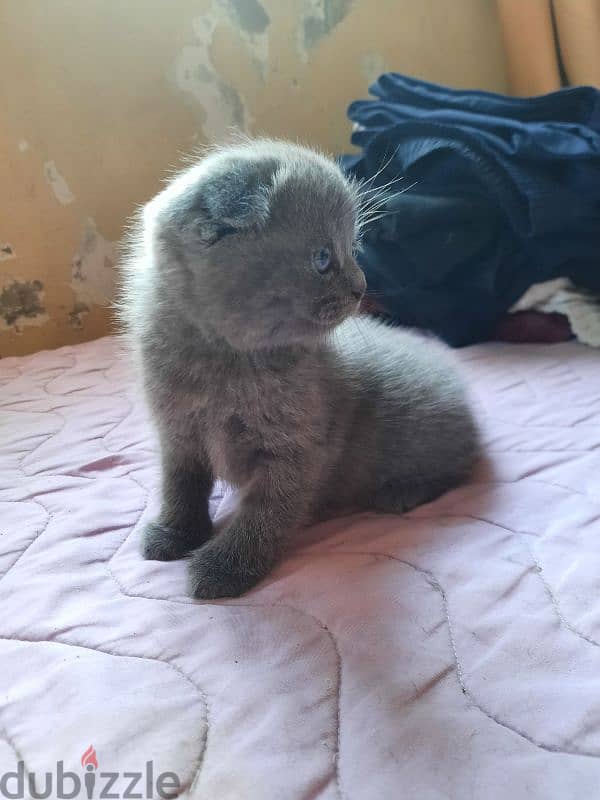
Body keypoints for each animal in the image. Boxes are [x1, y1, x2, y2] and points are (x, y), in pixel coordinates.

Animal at [120, 139, 478, 600]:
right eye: (323, 259)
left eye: (353, 249)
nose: (361, 286)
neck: (226, 364)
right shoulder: (177, 432)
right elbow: (180, 486)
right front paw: (175, 532)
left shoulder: (297, 449)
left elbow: (266, 513)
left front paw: (224, 568)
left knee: (460, 467)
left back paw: (402, 491)